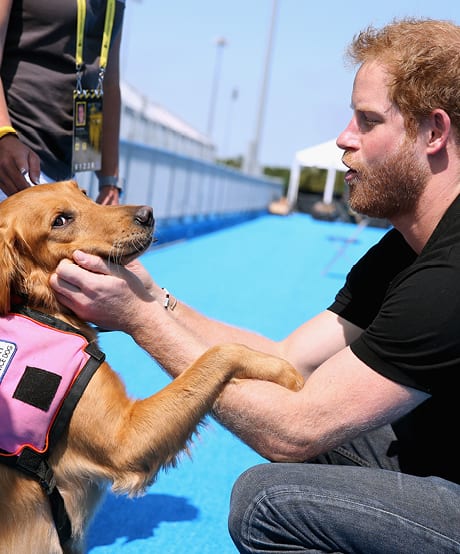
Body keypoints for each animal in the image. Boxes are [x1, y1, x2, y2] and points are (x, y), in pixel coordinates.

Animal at [0, 179, 302, 548]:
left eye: (83, 193)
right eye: (60, 221)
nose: (147, 214)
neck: (40, 308)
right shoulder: (125, 441)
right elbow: (218, 351)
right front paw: (281, 369)